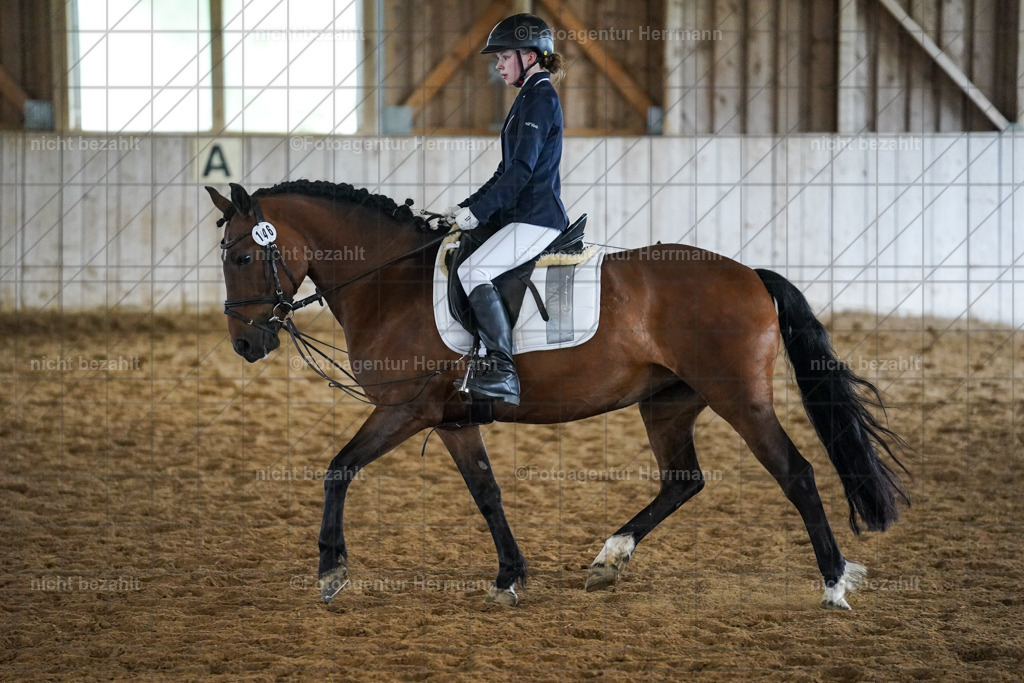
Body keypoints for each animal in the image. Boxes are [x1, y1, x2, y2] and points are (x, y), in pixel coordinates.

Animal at [206, 179, 910, 610]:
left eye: (240, 258)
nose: (244, 343)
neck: (389, 282)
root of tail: (751, 276)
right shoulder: (452, 419)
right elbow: (486, 492)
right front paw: (509, 577)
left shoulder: (405, 408)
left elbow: (338, 468)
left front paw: (331, 570)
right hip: (668, 401)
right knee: (683, 480)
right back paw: (610, 558)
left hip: (740, 397)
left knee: (796, 473)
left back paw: (834, 584)